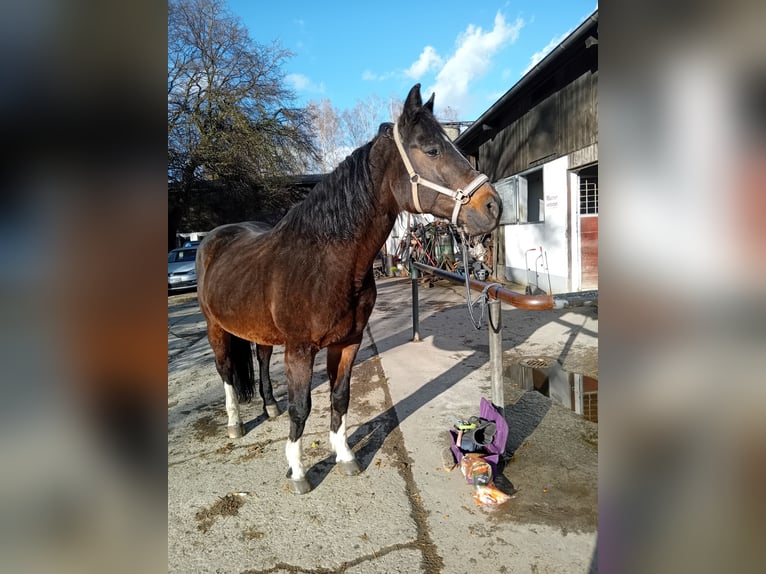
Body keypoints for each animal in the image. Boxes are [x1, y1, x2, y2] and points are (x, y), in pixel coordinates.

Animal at [195, 84, 500, 496]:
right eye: (432, 149)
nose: (493, 206)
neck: (325, 263)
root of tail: (214, 238)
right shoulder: (300, 350)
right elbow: (302, 407)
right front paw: (299, 472)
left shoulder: (348, 341)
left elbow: (340, 397)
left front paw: (345, 456)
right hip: (215, 326)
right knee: (226, 370)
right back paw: (235, 424)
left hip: (258, 330)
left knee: (259, 358)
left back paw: (269, 407)